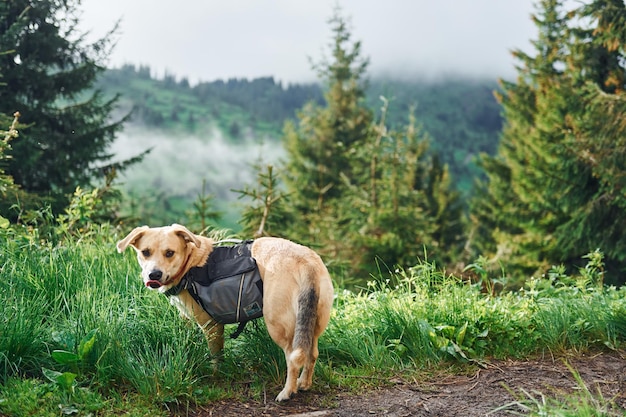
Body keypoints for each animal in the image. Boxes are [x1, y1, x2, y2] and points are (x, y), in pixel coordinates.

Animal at [115, 223, 334, 402]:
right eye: (145, 252)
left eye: (169, 253)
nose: (154, 274)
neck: (190, 262)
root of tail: (305, 262)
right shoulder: (187, 319)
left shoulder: (212, 325)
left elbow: (216, 357)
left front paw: (214, 376)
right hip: (313, 324)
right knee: (312, 353)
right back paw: (304, 383)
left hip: (278, 325)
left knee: (293, 359)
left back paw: (287, 391)